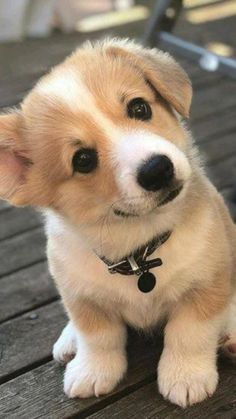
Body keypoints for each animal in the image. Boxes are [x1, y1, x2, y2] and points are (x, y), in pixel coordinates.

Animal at [0, 38, 236, 406]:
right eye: (83, 159)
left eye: (139, 108)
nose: (157, 170)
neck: (137, 249)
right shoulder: (81, 295)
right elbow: (97, 336)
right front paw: (92, 370)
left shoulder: (207, 283)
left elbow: (188, 333)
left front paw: (185, 376)